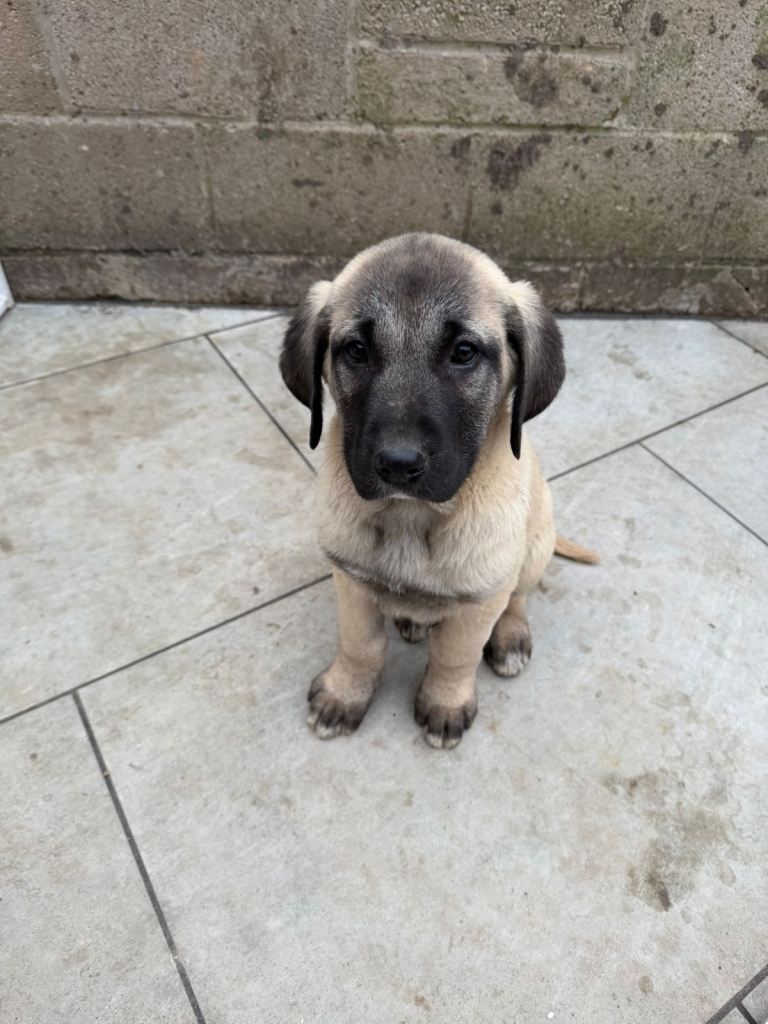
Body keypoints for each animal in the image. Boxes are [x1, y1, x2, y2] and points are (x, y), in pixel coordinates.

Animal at [280, 233, 596, 749]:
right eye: (356, 350)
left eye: (464, 353)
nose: (398, 464)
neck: (410, 517)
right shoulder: (350, 580)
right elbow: (360, 645)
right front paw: (345, 694)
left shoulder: (481, 598)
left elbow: (454, 655)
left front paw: (445, 704)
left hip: (534, 548)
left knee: (520, 597)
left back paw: (510, 637)